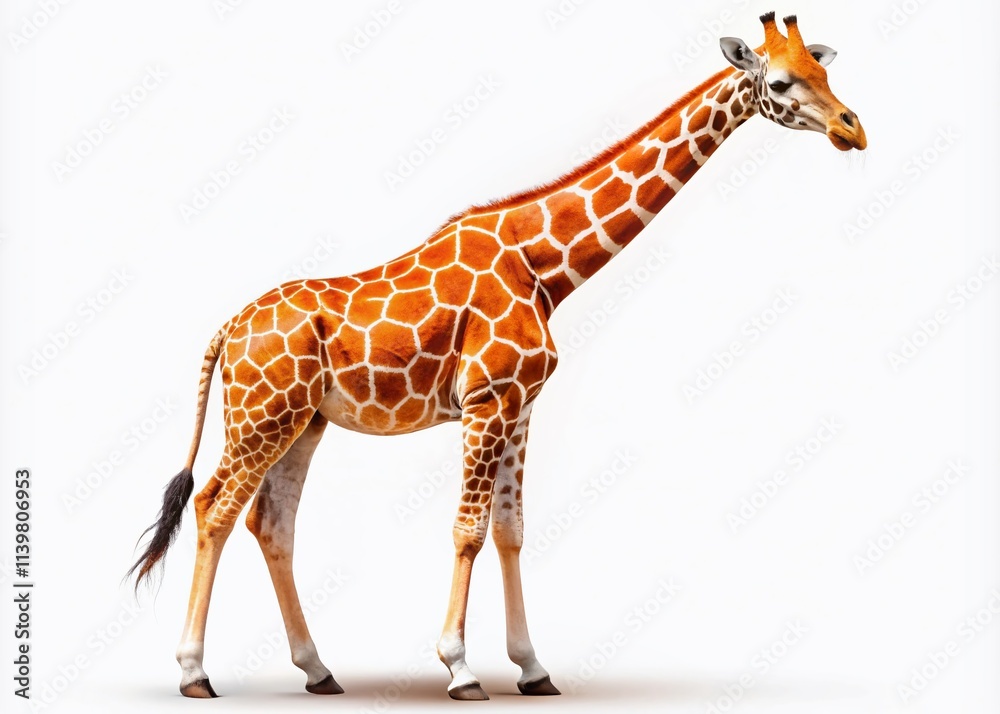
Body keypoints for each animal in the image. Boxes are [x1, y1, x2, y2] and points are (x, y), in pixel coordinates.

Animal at [128, 13, 866, 700]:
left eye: (824, 72)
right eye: (780, 82)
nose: (852, 129)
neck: (544, 265)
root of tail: (226, 329)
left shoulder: (521, 404)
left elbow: (511, 530)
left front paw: (533, 668)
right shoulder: (486, 401)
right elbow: (468, 531)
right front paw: (459, 669)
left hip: (303, 421)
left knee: (272, 523)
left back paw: (317, 670)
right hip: (262, 415)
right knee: (216, 508)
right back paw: (194, 673)